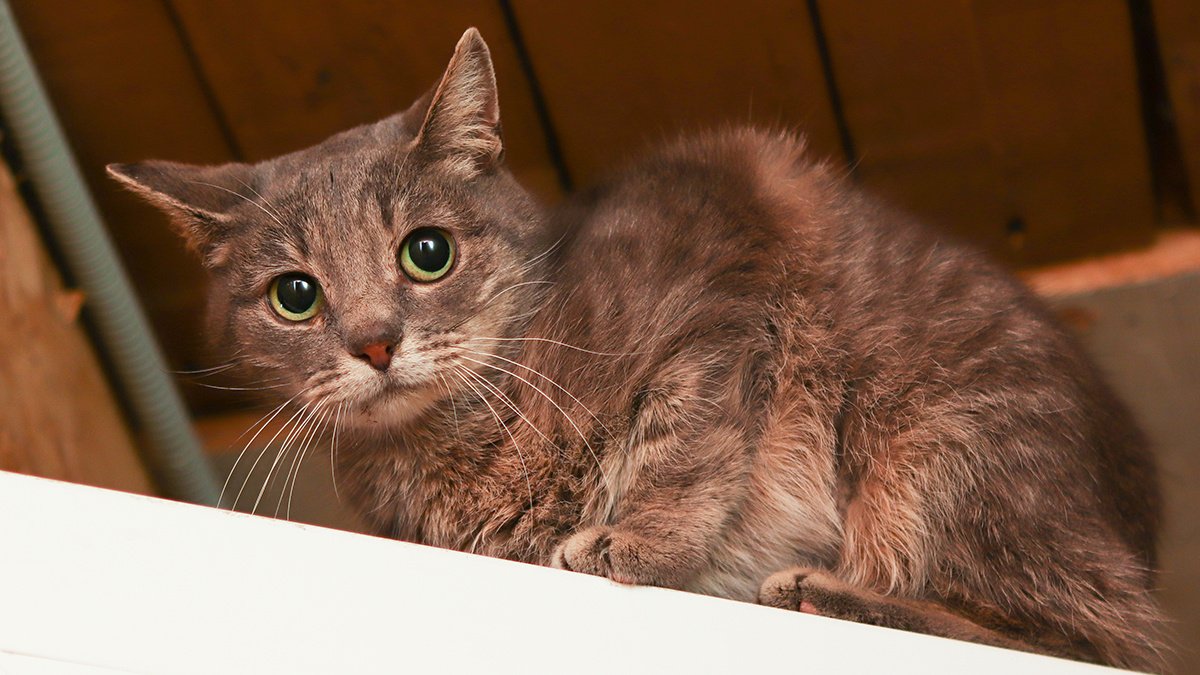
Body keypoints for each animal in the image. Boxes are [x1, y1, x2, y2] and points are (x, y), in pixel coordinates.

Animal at [110, 28, 1161, 667]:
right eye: (295, 296)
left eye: (426, 251)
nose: (374, 342)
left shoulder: (721, 286)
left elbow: (679, 442)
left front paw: (637, 538)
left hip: (938, 450)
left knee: (1089, 637)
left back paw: (827, 593)